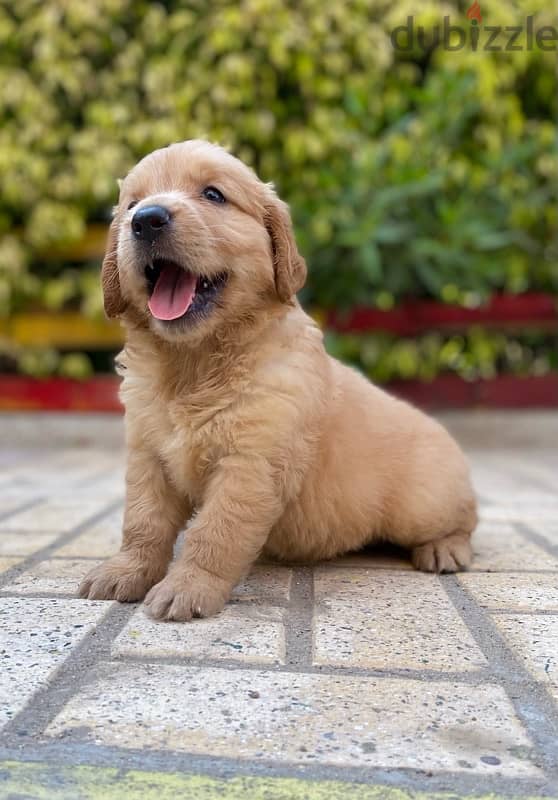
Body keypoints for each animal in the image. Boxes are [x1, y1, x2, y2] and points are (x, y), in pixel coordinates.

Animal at [79, 141, 480, 620]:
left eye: (213, 195)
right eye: (131, 205)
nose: (146, 219)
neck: (193, 364)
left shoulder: (250, 464)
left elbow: (216, 532)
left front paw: (189, 587)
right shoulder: (147, 456)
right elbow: (143, 521)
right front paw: (126, 570)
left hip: (422, 505)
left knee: (467, 518)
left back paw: (446, 549)